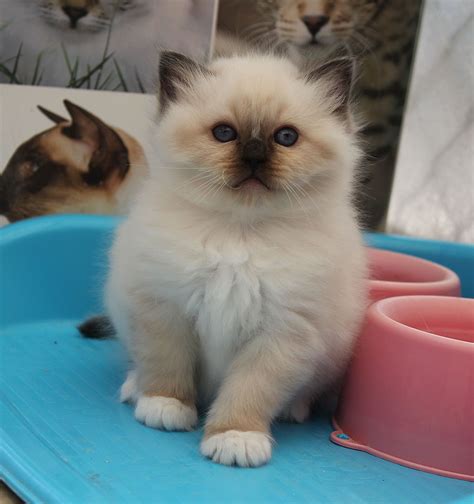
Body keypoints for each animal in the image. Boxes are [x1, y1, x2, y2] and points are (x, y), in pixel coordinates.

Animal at [105, 49, 368, 466]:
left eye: (286, 137)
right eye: (224, 133)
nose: (254, 156)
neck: (239, 235)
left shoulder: (283, 331)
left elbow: (249, 391)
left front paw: (235, 439)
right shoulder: (166, 308)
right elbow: (167, 364)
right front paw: (165, 407)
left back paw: (293, 409)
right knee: (141, 362)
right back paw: (135, 388)